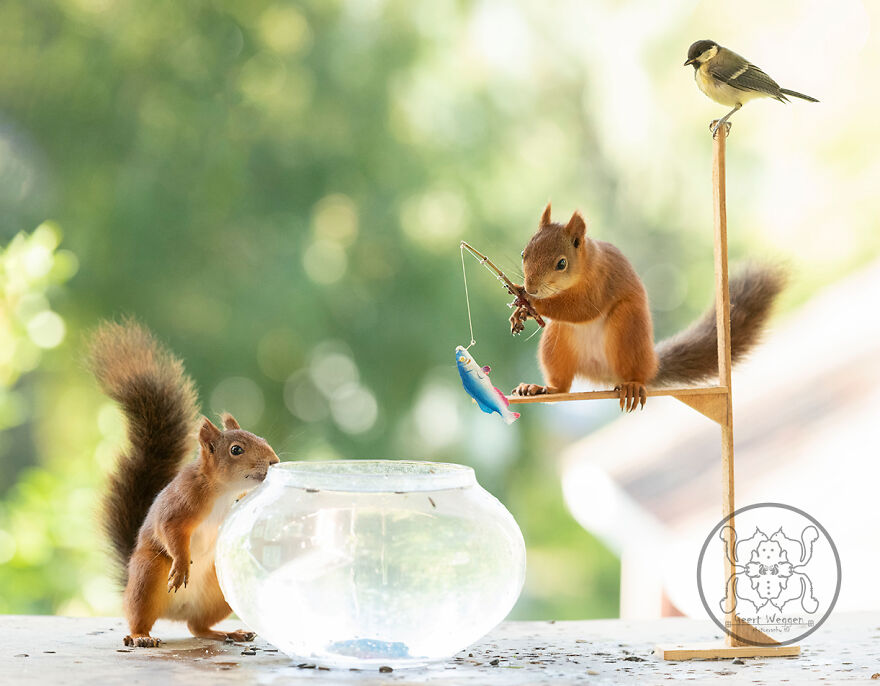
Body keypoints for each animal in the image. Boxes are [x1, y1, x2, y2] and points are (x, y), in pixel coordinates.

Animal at [89, 320, 280, 647]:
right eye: (236, 450)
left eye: (263, 438)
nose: (275, 461)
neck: (223, 492)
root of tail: (174, 612)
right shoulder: (183, 501)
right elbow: (170, 529)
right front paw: (180, 566)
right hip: (147, 575)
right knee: (139, 616)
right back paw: (141, 636)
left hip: (218, 591)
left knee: (197, 627)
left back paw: (229, 632)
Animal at [510, 203, 786, 411]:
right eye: (524, 253)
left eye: (562, 263)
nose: (531, 287)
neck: (586, 266)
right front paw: (519, 305)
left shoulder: (601, 283)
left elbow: (582, 310)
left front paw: (531, 302)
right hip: (556, 341)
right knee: (562, 386)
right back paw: (541, 388)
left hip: (627, 328)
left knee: (632, 372)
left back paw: (632, 385)